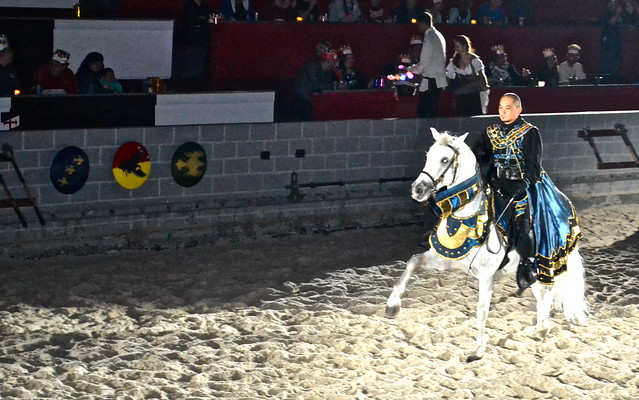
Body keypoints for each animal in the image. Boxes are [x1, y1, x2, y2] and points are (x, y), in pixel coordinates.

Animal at [384, 128, 592, 362]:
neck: (467, 217)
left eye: (445, 159)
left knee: (546, 293)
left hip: (544, 265)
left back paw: (541, 329)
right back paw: (540, 329)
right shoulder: (446, 260)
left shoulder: (486, 274)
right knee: (541, 295)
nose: (417, 189)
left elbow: (482, 309)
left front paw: (478, 350)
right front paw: (392, 306)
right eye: (428, 156)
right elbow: (412, 262)